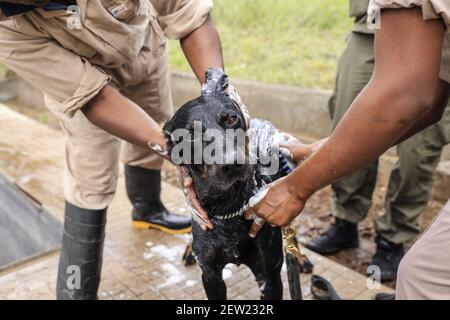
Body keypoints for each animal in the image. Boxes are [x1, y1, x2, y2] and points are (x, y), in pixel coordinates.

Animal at [164, 70, 288, 300]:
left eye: (231, 118)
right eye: (190, 135)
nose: (232, 163)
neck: (227, 206)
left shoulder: (269, 277)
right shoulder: (211, 276)